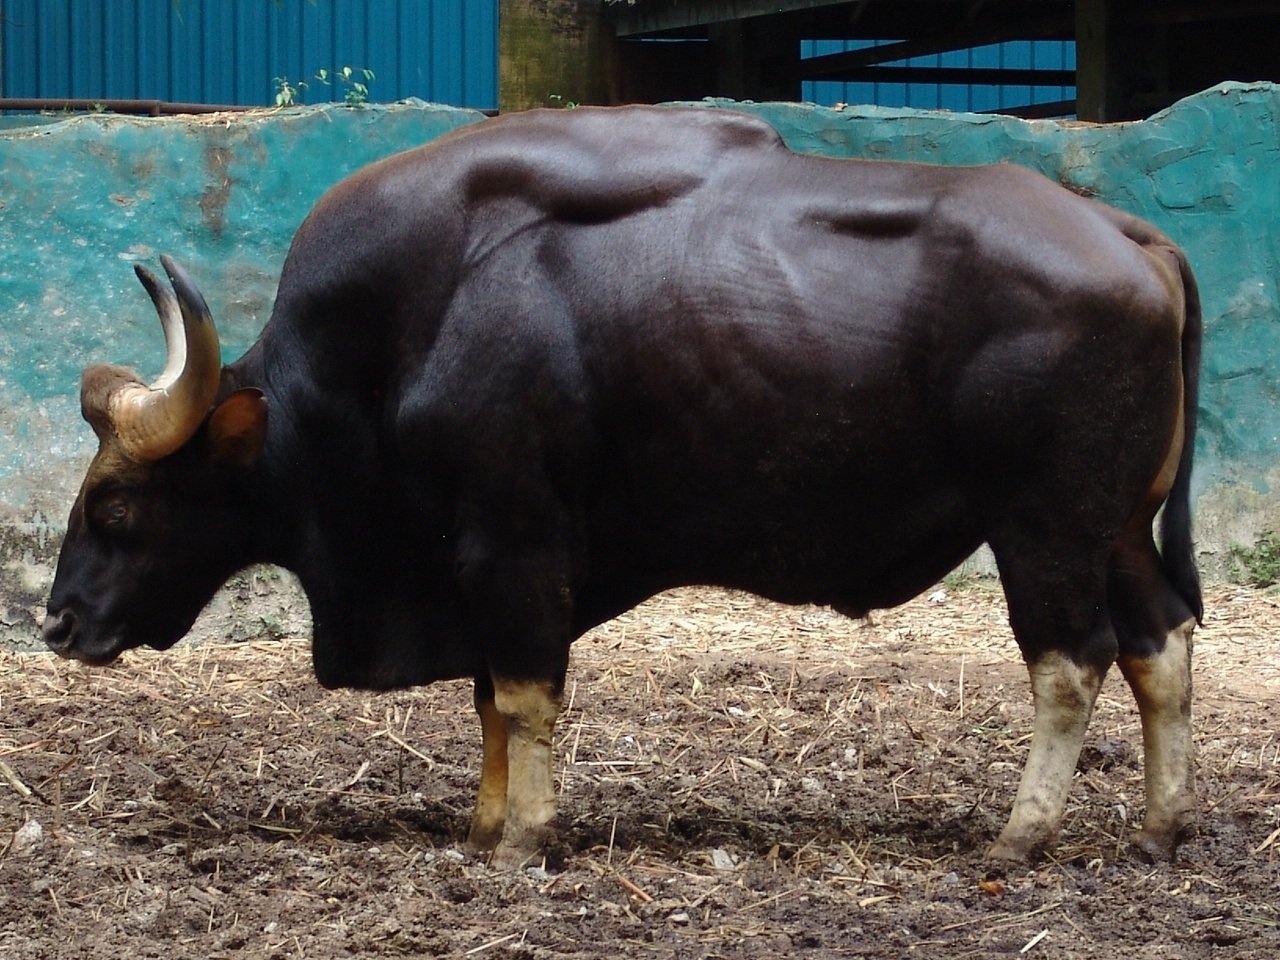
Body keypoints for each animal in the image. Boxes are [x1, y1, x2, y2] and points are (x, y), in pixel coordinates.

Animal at [40, 103, 1198, 865]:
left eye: (116, 504)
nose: (57, 623)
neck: (405, 330)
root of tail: (1128, 235)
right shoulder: (477, 563)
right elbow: (487, 700)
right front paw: (484, 823)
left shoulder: (511, 541)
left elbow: (521, 694)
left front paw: (525, 839)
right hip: (1117, 530)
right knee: (1158, 644)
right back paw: (1158, 827)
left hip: (1044, 526)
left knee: (1071, 663)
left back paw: (1019, 837)